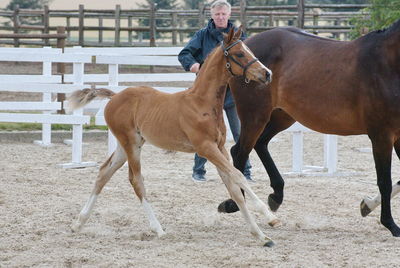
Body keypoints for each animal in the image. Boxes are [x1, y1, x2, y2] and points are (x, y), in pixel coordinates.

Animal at [67, 27, 278, 247]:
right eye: (239, 54)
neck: (202, 104)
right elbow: (238, 176)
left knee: (104, 173)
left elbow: (234, 189)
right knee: (136, 180)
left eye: (250, 51)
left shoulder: (219, 148)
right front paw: (269, 216)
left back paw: (78, 223)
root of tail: (115, 96)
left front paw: (262, 236)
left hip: (126, 145)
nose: (267, 73)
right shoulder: (206, 148)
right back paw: (158, 229)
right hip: (131, 144)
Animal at [219, 17, 400, 238]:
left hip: (282, 116)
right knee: (240, 152)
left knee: (259, 144)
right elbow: (385, 181)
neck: (387, 64)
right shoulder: (382, 136)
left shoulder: (398, 137)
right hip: (255, 116)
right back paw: (232, 204)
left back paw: (276, 194)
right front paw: (391, 224)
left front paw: (367, 206)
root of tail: (243, 46)